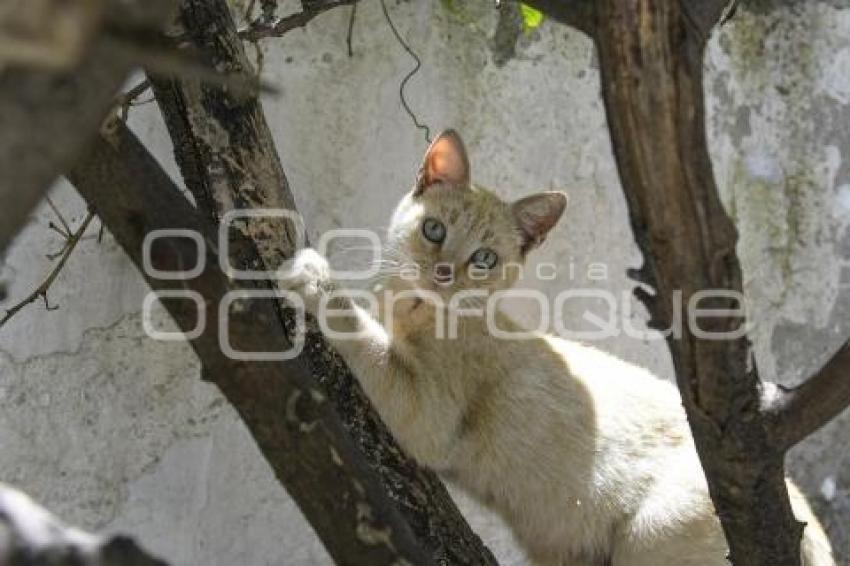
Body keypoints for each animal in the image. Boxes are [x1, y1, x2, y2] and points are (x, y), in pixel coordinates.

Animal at [280, 131, 836, 564]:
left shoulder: (426, 417)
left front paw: (313, 278)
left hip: (648, 538)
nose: (442, 273)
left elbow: (360, 332)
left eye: (483, 258)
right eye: (433, 230)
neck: (411, 310)